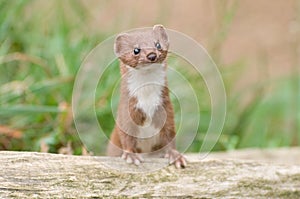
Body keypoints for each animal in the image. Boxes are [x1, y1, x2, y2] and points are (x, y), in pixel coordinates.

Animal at [106, 24, 186, 168]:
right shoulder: (126, 111)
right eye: (136, 50)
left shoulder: (166, 109)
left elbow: (170, 135)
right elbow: (126, 135)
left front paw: (175, 156)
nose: (152, 55)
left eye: (158, 44)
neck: (147, 100)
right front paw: (131, 155)